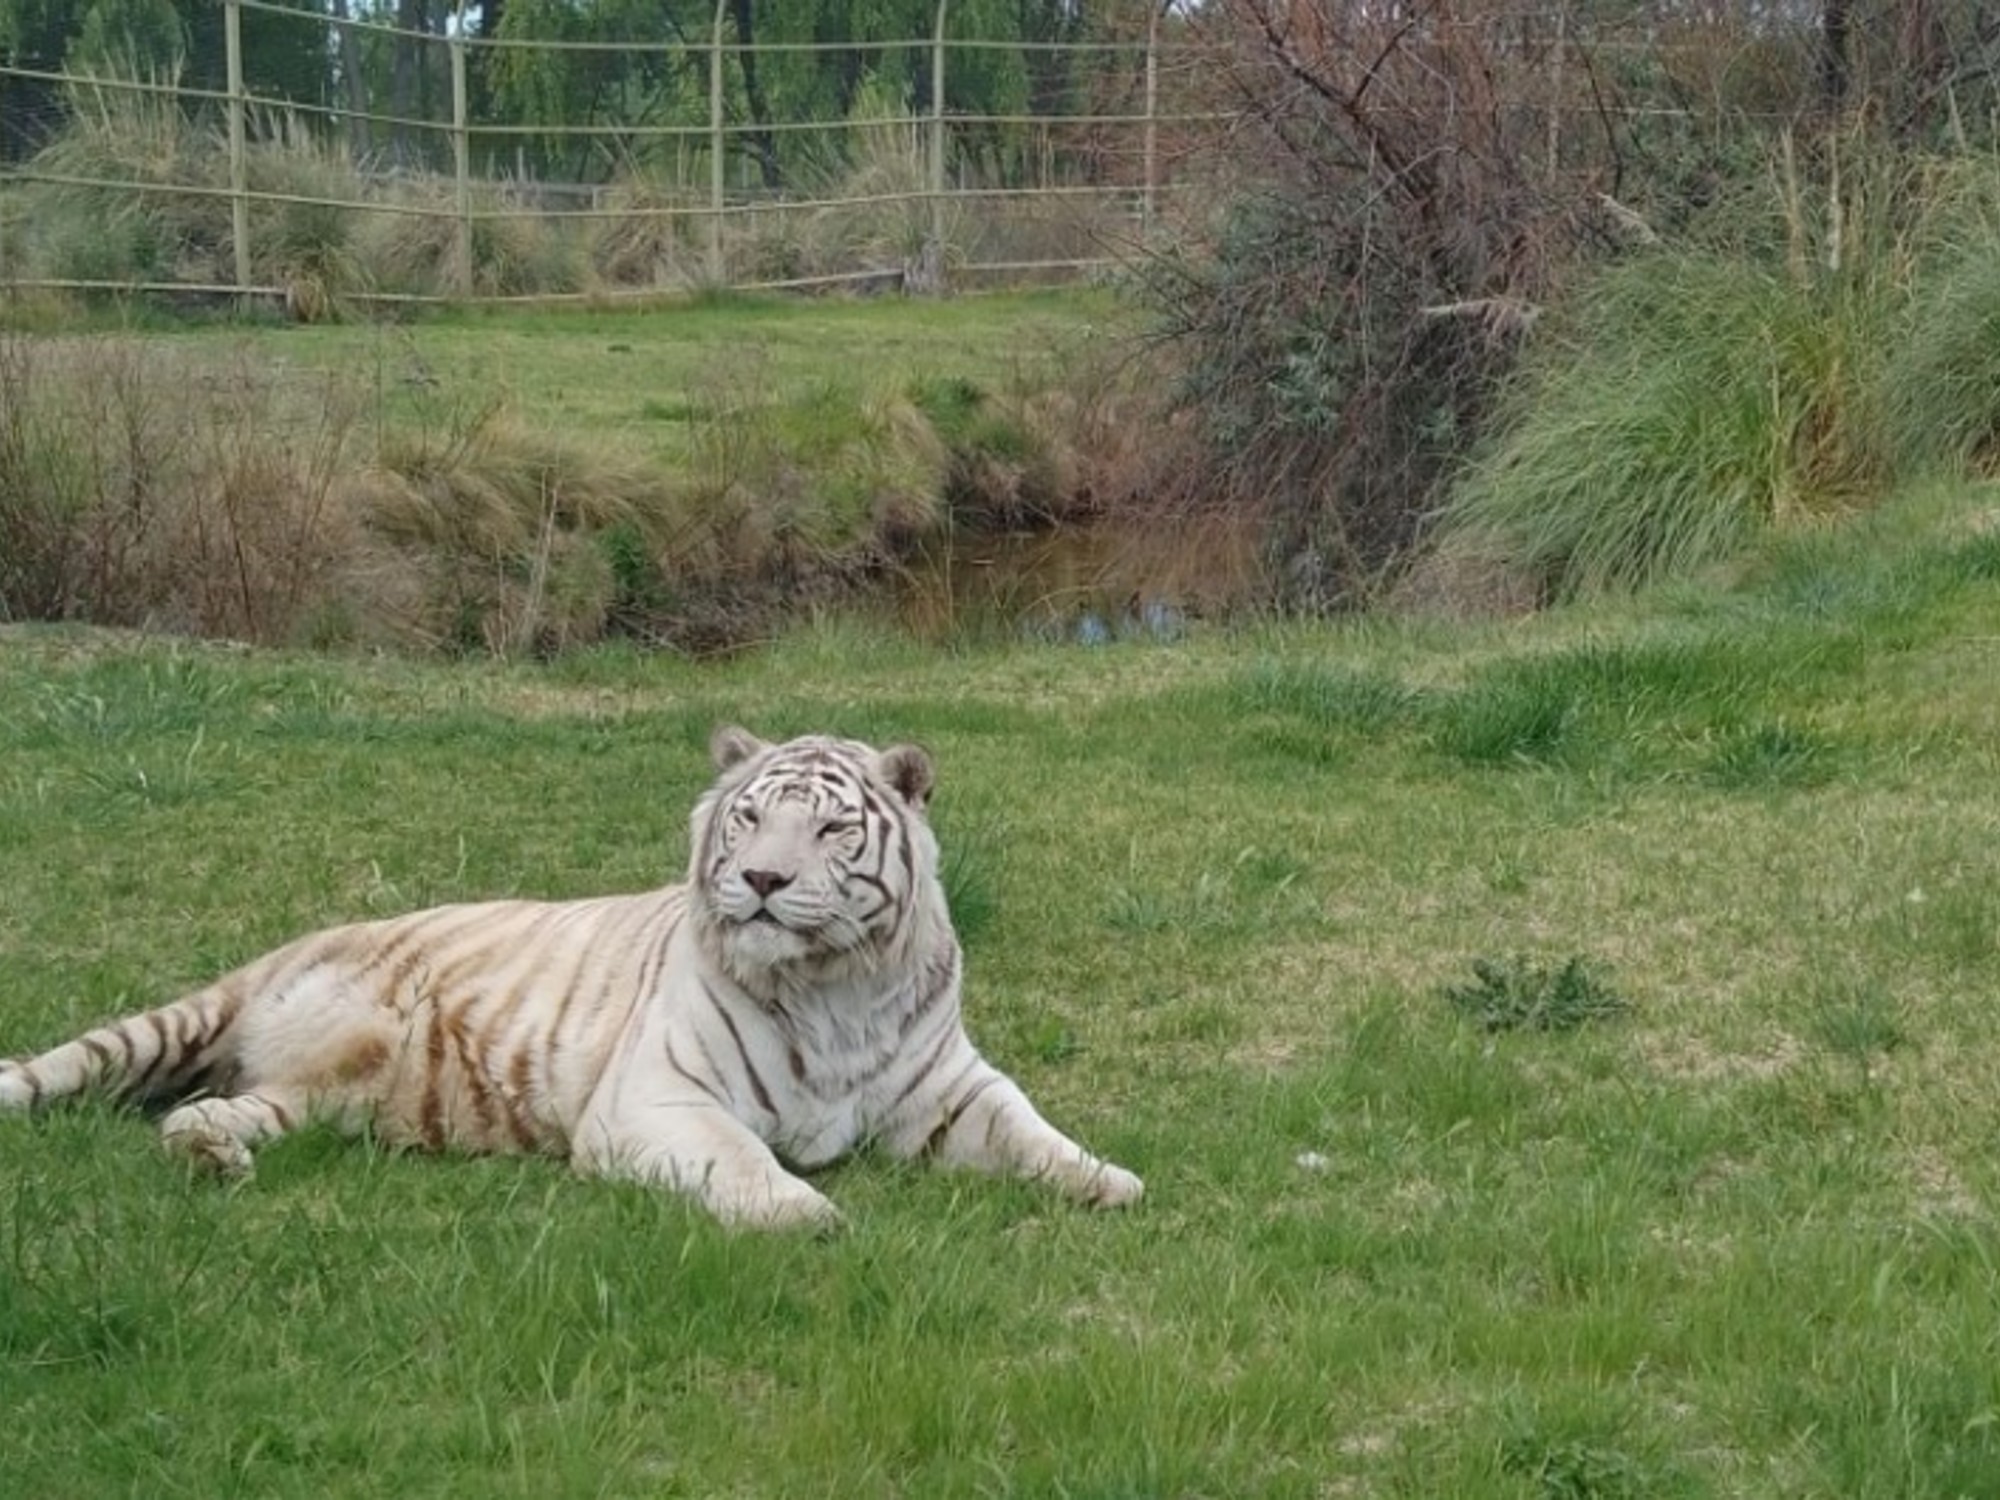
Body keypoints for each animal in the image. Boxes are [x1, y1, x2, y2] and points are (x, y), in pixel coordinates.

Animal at [0, 728, 1144, 1232]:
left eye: (828, 829)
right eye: (747, 819)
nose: (762, 881)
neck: (835, 984)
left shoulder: (949, 1089)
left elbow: (1034, 1132)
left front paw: (1109, 1181)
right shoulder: (662, 1099)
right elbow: (742, 1161)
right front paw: (809, 1213)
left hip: (313, 1100)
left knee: (201, 1115)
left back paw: (211, 1158)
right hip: (194, 1022)